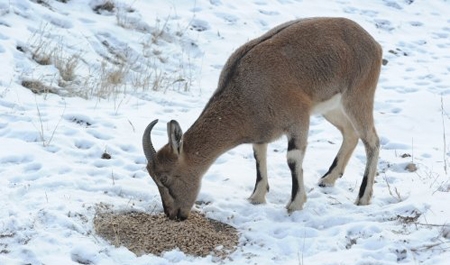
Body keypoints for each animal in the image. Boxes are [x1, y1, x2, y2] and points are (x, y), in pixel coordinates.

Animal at [142, 16, 382, 219]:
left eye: (164, 178)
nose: (174, 215)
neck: (246, 90)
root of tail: (373, 44)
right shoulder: (262, 131)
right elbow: (258, 156)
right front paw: (256, 197)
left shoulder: (299, 119)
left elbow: (293, 158)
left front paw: (295, 203)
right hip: (331, 107)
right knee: (350, 133)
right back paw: (328, 179)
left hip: (358, 96)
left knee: (371, 140)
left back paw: (363, 197)